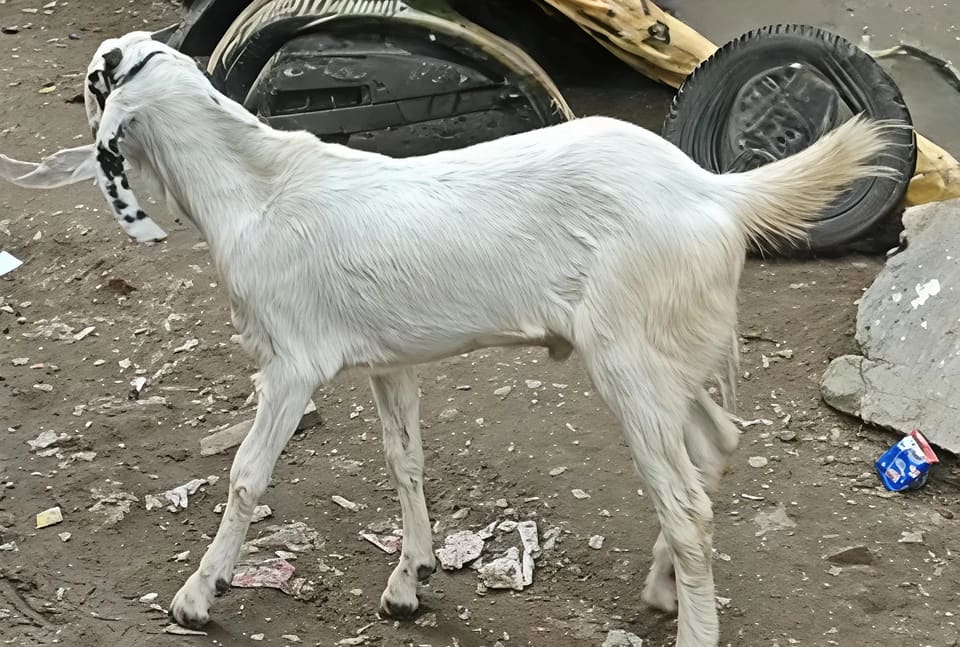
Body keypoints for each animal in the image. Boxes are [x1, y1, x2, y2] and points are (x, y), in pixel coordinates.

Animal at [0, 32, 901, 647]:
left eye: (97, 82)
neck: (255, 191)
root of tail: (717, 192)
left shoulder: (292, 365)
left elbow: (246, 475)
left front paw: (197, 593)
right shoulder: (386, 362)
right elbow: (406, 460)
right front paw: (411, 577)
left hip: (633, 363)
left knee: (687, 503)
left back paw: (691, 621)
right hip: (667, 355)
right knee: (718, 444)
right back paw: (662, 586)